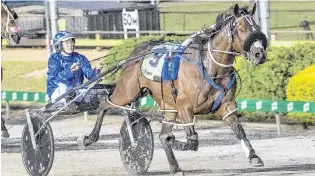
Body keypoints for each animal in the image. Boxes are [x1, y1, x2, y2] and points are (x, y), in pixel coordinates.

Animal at [78, 3, 266, 175]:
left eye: (256, 28)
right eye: (241, 29)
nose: (259, 54)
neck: (210, 67)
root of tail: (136, 51)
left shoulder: (226, 105)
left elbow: (238, 130)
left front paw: (253, 156)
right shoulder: (185, 108)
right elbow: (191, 141)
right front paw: (174, 141)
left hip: (168, 106)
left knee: (162, 130)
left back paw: (175, 168)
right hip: (127, 91)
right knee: (105, 103)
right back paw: (88, 138)